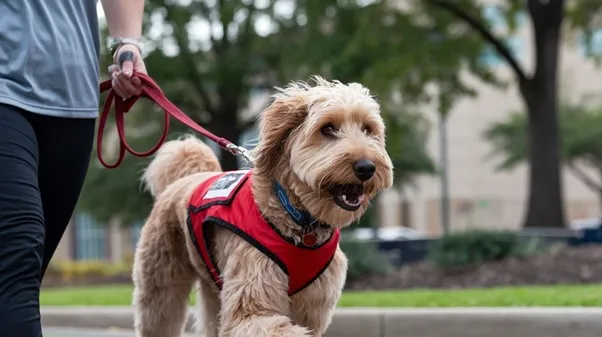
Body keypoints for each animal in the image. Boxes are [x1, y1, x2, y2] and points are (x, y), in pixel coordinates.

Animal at [132, 76, 394, 336]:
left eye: (368, 129)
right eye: (327, 128)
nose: (366, 167)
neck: (299, 221)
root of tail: (186, 178)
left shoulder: (311, 308)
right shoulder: (251, 305)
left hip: (213, 287)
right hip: (160, 288)